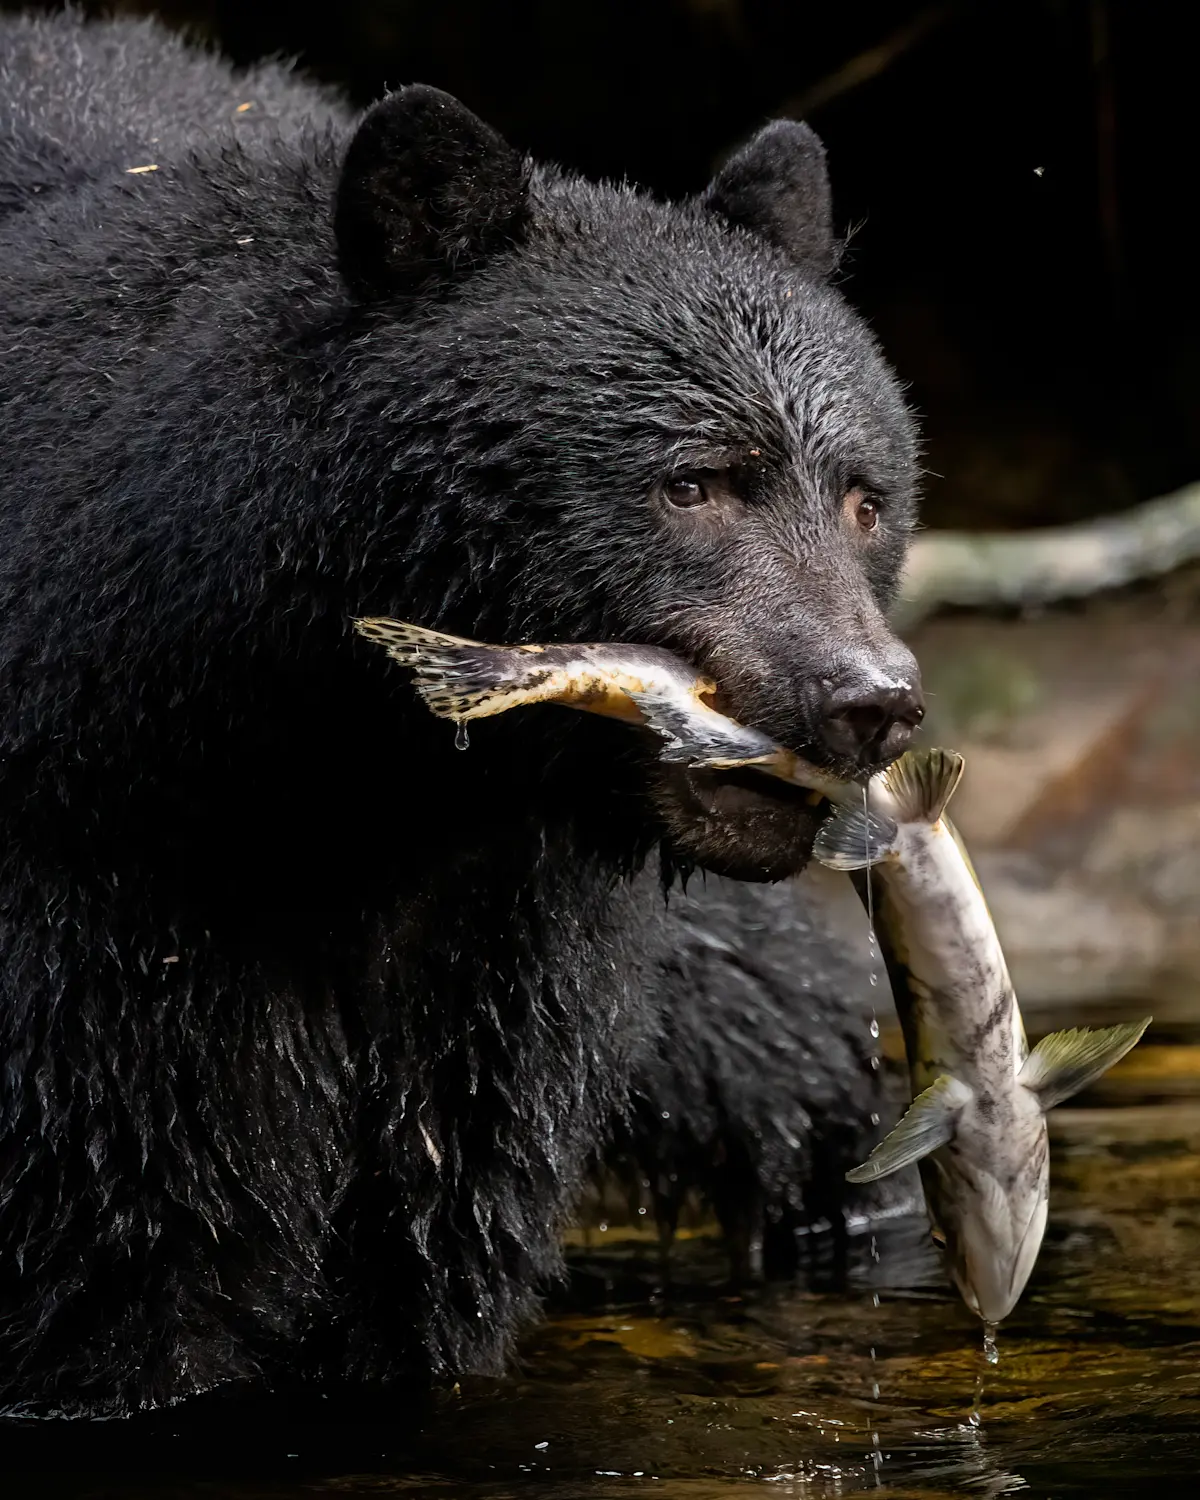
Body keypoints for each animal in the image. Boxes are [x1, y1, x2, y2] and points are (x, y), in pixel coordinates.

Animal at [0, 10, 922, 1416]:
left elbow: (437, 1229)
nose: (867, 699)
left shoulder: (499, 939)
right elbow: (132, 1238)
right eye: (695, 483)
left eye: (867, 498)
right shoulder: (100, 889)